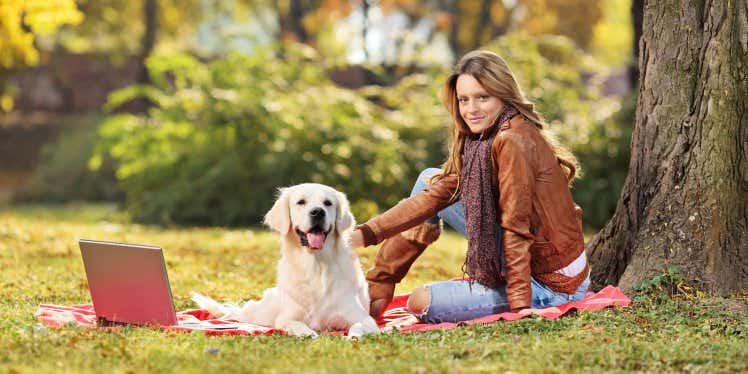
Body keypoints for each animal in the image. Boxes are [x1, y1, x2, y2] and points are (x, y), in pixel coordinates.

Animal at [193, 184, 380, 338]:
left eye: (328, 203)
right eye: (301, 202)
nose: (318, 212)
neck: (316, 265)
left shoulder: (362, 317)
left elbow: (359, 326)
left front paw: (353, 336)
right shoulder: (287, 318)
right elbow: (297, 325)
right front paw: (308, 334)